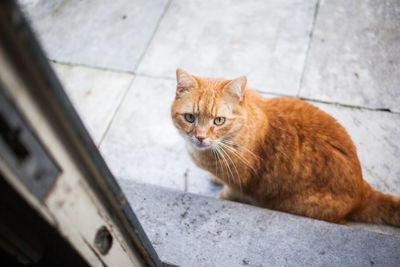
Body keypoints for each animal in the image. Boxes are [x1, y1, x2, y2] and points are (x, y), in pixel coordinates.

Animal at [172, 68, 400, 226]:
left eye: (218, 121)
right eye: (190, 117)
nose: (200, 137)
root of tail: (362, 190)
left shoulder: (240, 183)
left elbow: (231, 191)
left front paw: (222, 193)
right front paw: (214, 178)